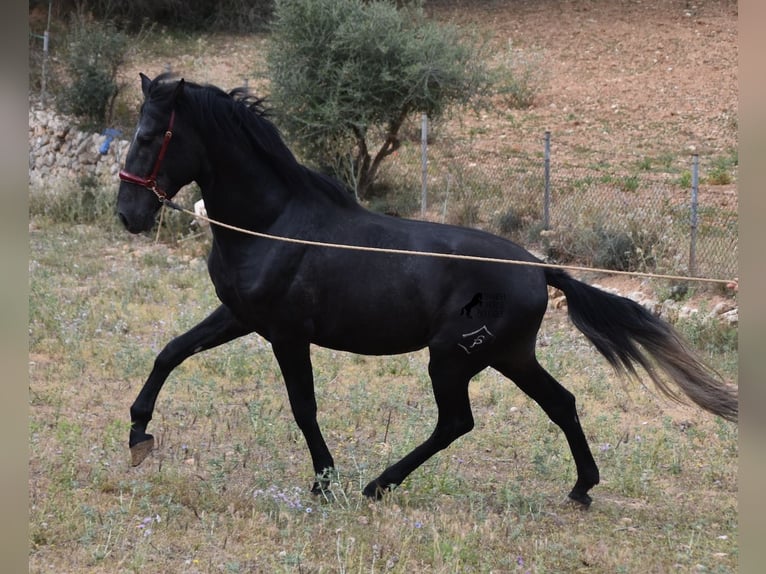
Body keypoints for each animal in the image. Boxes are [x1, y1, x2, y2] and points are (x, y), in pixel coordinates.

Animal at [115, 73, 736, 508]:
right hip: (507, 354)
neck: (273, 224)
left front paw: (325, 481)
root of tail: (539, 270)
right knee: (560, 402)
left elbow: (303, 407)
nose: (129, 214)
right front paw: (139, 435)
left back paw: (379, 485)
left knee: (457, 423)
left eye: (148, 136)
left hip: (453, 357)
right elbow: (170, 352)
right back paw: (581, 488)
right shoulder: (240, 317)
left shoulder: (288, 335)